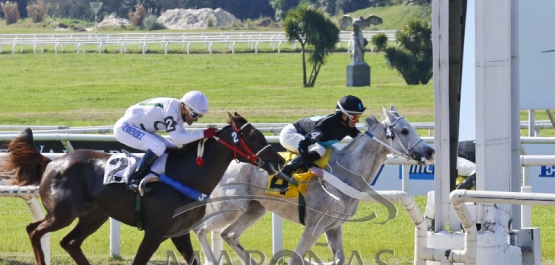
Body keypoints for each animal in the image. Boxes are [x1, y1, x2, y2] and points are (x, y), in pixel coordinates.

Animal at [0, 112, 284, 264]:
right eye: (252, 135)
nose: (279, 160)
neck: (186, 176)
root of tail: (51, 161)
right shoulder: (154, 233)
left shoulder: (179, 232)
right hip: (62, 213)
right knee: (34, 230)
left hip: (94, 215)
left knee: (69, 242)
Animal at [194, 105, 434, 264]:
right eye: (404, 130)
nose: (430, 151)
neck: (346, 171)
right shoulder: (314, 226)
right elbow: (296, 259)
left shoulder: (334, 227)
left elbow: (339, 259)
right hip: (231, 207)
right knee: (201, 230)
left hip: (254, 209)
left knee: (229, 235)